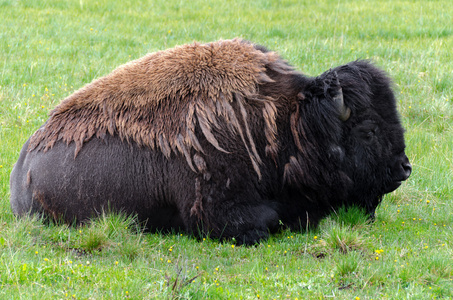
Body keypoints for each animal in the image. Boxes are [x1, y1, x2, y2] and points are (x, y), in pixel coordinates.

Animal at [8, 39, 412, 244]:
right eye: (368, 130)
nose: (404, 168)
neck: (286, 121)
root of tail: (21, 167)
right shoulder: (216, 215)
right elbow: (266, 220)